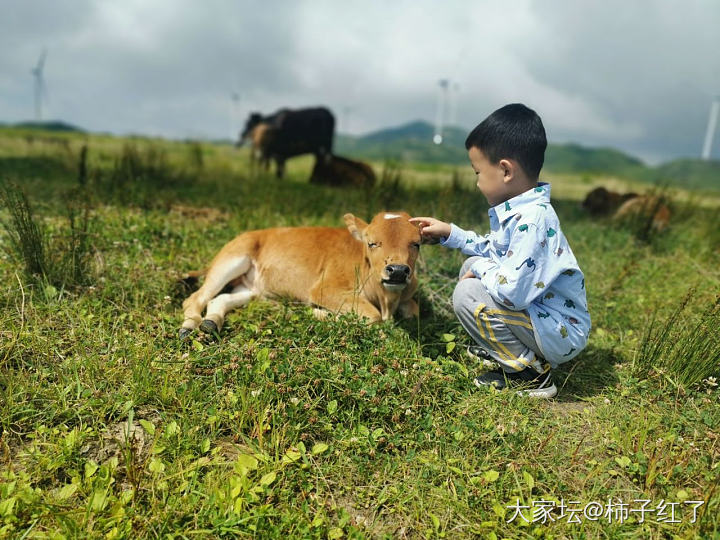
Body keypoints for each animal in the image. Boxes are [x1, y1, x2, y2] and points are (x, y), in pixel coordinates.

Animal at [179, 212, 422, 336]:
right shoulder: (325, 289)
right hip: (233, 259)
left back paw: (211, 323)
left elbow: (414, 311)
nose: (397, 271)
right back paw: (189, 327)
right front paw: (319, 314)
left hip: (250, 288)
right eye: (372, 243)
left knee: (220, 299)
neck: (386, 300)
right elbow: (372, 316)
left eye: (416, 244)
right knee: (195, 298)